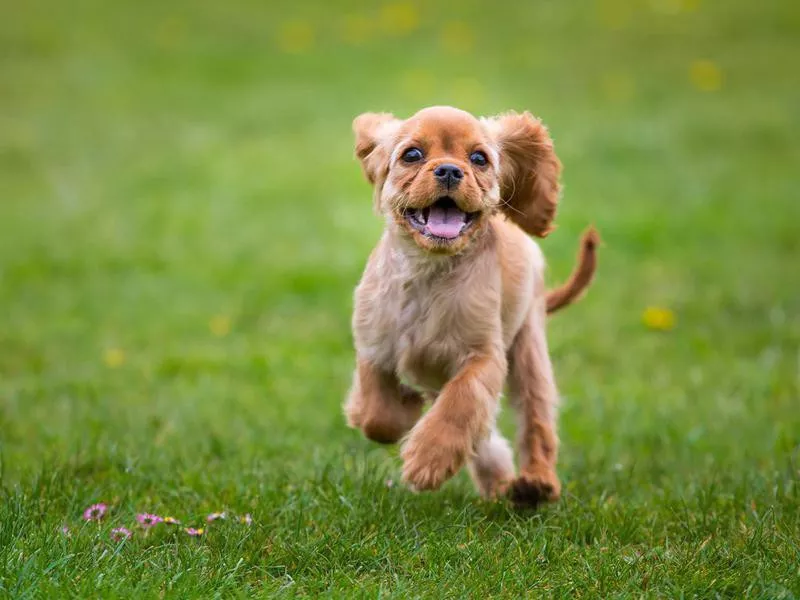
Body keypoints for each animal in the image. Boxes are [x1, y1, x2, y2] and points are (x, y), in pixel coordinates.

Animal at [340, 105, 596, 504]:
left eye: (478, 159)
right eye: (412, 154)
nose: (448, 170)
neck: (429, 270)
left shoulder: (484, 355)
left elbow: (461, 402)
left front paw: (428, 460)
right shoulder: (374, 344)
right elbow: (375, 413)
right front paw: (405, 410)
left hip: (529, 347)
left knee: (535, 421)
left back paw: (534, 484)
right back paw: (500, 481)